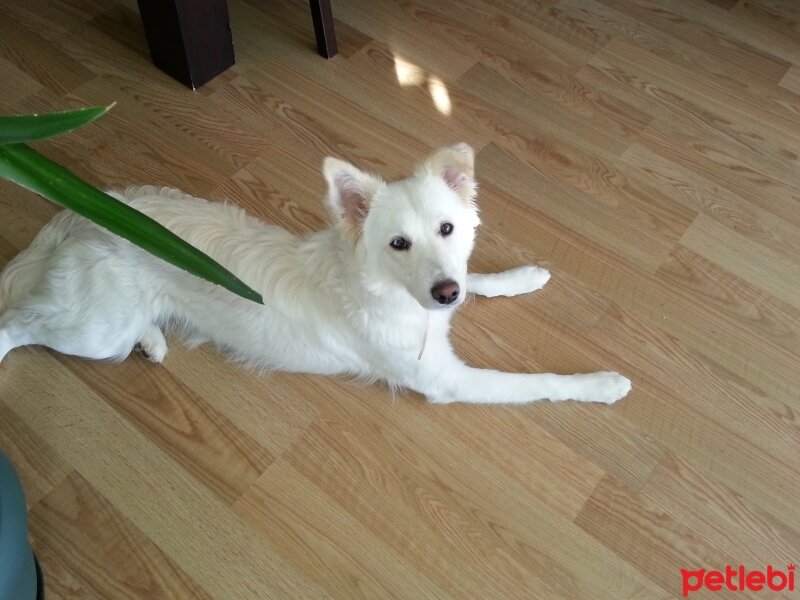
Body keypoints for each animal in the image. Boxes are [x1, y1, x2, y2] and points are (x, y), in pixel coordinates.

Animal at [0, 145, 632, 406]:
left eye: (448, 229)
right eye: (397, 243)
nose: (443, 292)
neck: (387, 292)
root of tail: (86, 214)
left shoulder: (443, 289)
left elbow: (479, 278)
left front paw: (524, 276)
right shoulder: (445, 379)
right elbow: (535, 382)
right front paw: (601, 385)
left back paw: (152, 338)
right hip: (89, 332)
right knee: (17, 323)